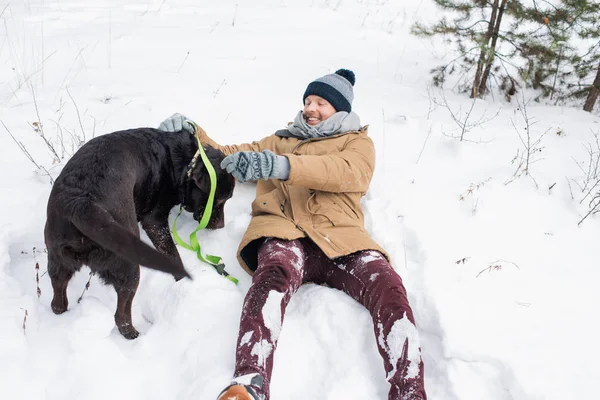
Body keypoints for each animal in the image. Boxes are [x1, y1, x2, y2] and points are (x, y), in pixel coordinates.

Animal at [42, 127, 233, 338]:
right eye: (219, 200)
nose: (221, 226)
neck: (182, 162)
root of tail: (82, 203)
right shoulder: (154, 220)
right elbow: (173, 254)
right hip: (129, 264)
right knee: (121, 314)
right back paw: (132, 333)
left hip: (58, 260)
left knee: (57, 300)